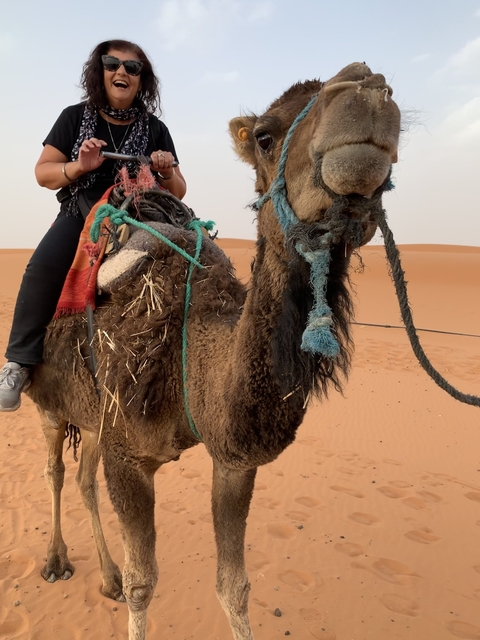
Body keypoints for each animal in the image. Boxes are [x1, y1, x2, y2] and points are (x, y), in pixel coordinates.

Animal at [25, 62, 401, 639]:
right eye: (264, 136)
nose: (366, 85)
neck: (192, 349)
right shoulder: (127, 454)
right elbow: (143, 584)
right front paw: (126, 585)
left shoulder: (231, 460)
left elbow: (234, 586)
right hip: (49, 401)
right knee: (56, 472)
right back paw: (54, 561)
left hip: (90, 413)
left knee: (84, 479)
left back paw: (105, 577)